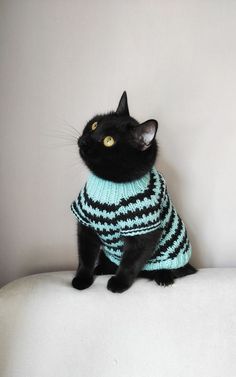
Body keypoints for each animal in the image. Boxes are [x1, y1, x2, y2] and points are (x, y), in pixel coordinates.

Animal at [71, 92, 196, 292]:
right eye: (94, 124)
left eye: (109, 141)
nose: (83, 140)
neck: (111, 185)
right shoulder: (86, 223)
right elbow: (85, 256)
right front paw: (82, 279)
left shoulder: (144, 232)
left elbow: (131, 262)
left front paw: (119, 283)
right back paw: (102, 268)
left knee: (176, 270)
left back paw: (163, 276)